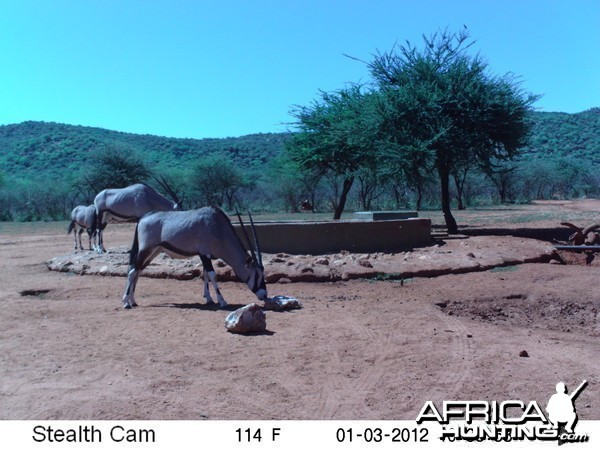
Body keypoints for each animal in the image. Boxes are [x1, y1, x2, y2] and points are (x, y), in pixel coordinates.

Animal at [122, 207, 268, 310]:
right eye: (257, 275)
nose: (264, 295)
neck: (217, 226)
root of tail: (143, 218)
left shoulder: (205, 256)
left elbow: (205, 275)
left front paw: (209, 299)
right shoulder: (204, 253)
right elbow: (212, 275)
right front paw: (222, 301)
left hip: (154, 251)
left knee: (138, 270)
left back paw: (133, 301)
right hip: (145, 249)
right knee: (132, 271)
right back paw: (126, 302)